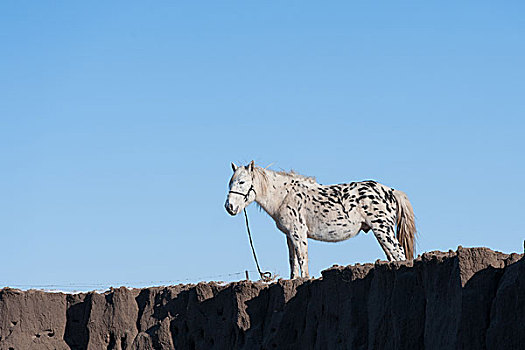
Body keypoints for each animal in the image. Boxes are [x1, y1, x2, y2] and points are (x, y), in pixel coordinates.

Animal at [223, 161, 416, 278]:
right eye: (230, 183)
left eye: (242, 182)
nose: (229, 207)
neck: (284, 196)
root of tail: (391, 191)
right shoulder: (289, 236)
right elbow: (293, 261)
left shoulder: (298, 233)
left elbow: (303, 259)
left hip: (383, 230)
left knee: (399, 254)